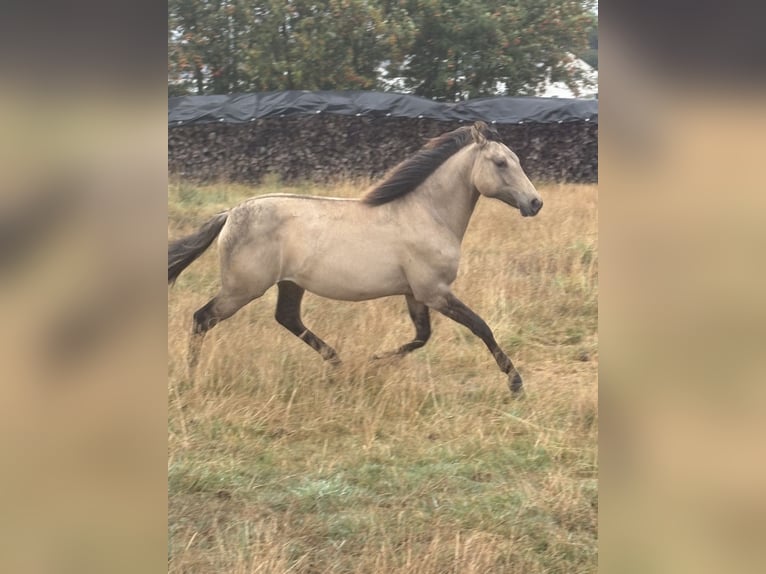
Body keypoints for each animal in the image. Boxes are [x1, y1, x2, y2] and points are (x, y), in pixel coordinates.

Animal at [168, 121, 543, 394]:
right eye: (500, 163)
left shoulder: (415, 294)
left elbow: (422, 337)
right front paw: (516, 383)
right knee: (202, 318)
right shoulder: (435, 292)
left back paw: (338, 364)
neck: (427, 213)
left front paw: (374, 360)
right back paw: (190, 378)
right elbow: (481, 327)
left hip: (289, 284)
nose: (535, 203)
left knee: (287, 318)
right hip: (242, 289)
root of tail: (230, 213)